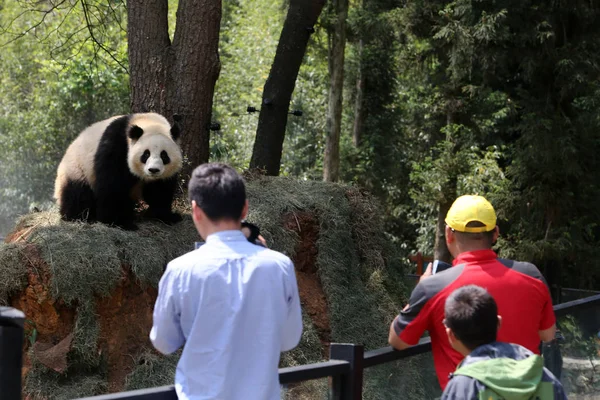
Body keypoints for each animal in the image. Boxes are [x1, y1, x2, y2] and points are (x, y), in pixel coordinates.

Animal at [55, 112, 184, 231]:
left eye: (164, 155)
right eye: (146, 154)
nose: (153, 170)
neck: (148, 122)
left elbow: (160, 190)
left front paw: (166, 216)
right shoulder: (117, 146)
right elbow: (112, 186)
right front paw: (118, 222)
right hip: (78, 170)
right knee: (78, 195)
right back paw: (79, 216)